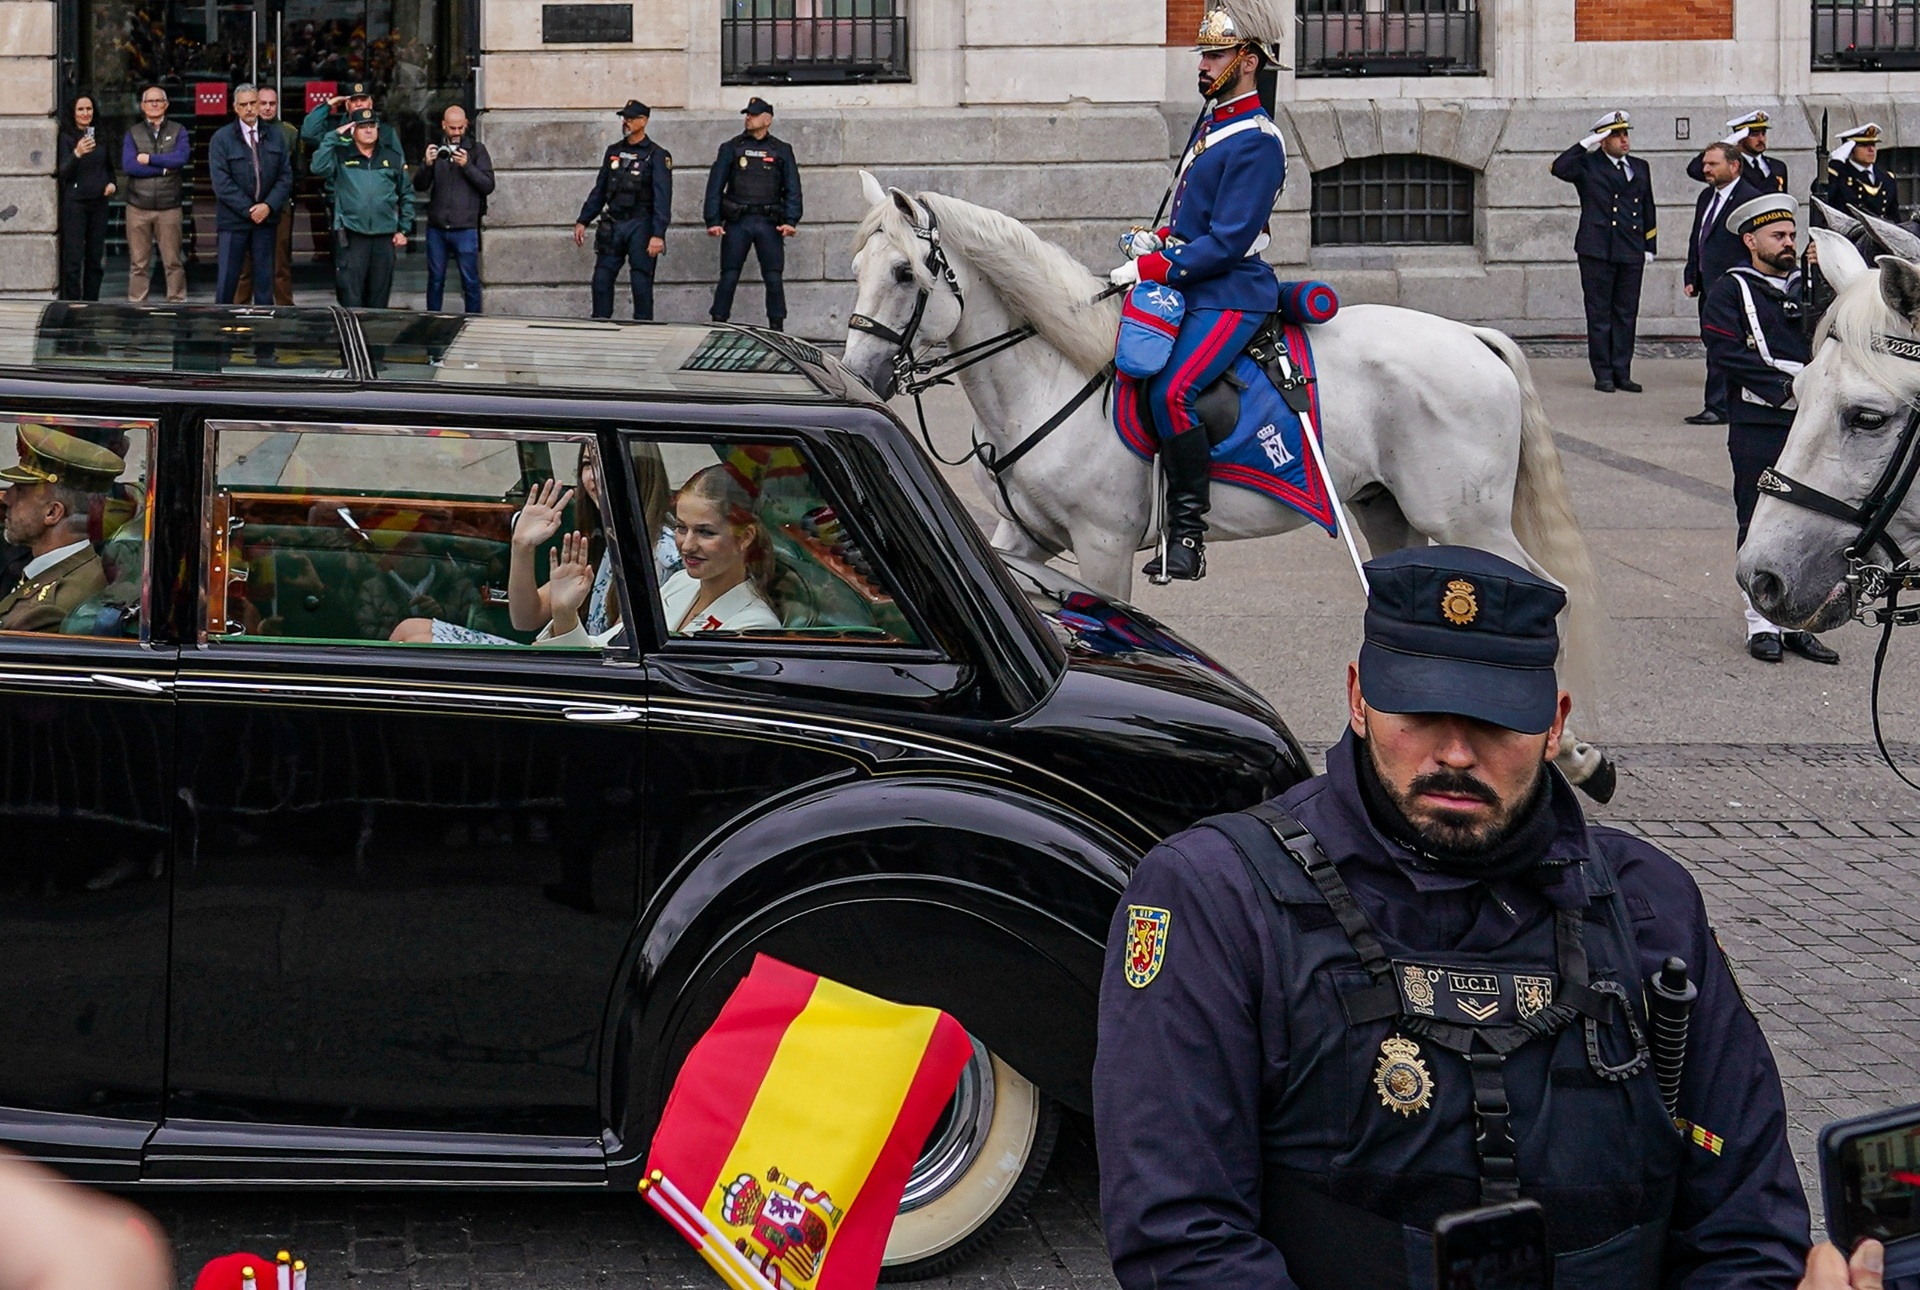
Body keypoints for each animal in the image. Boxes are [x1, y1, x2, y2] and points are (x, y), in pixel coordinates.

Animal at [848, 172, 1612, 794]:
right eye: (856, 267)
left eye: (905, 273)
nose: (857, 373)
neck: (1053, 372)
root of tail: (1473, 336)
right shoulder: (1025, 533)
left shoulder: (1102, 543)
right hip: (1391, 511)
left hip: (1466, 518)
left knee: (1551, 595)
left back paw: (1567, 750)